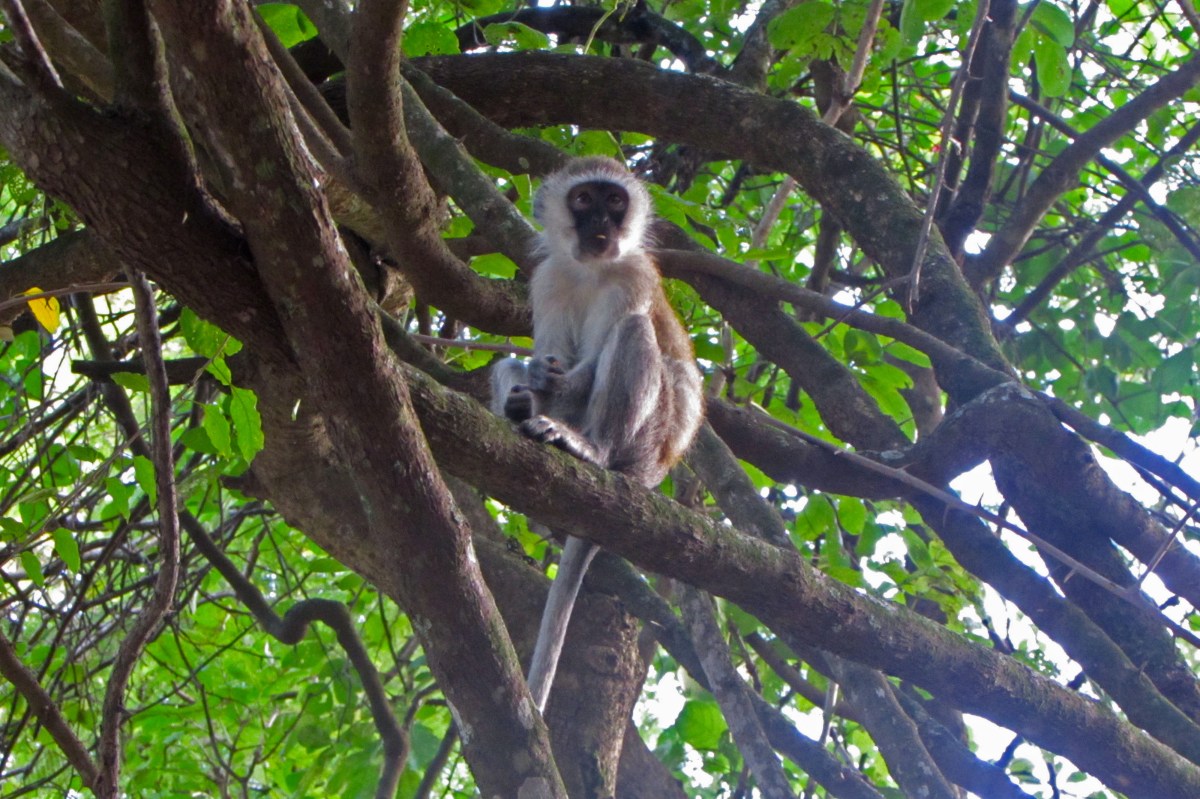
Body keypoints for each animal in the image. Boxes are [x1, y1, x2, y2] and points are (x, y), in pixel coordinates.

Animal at [492, 157, 704, 712]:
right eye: (584, 200)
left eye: (615, 202)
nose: (601, 227)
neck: (590, 270)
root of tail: (655, 472)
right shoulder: (548, 279)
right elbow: (547, 355)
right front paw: (528, 387)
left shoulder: (633, 275)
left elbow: (593, 357)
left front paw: (555, 384)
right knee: (510, 369)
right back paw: (519, 410)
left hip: (644, 442)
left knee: (633, 331)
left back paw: (591, 450)